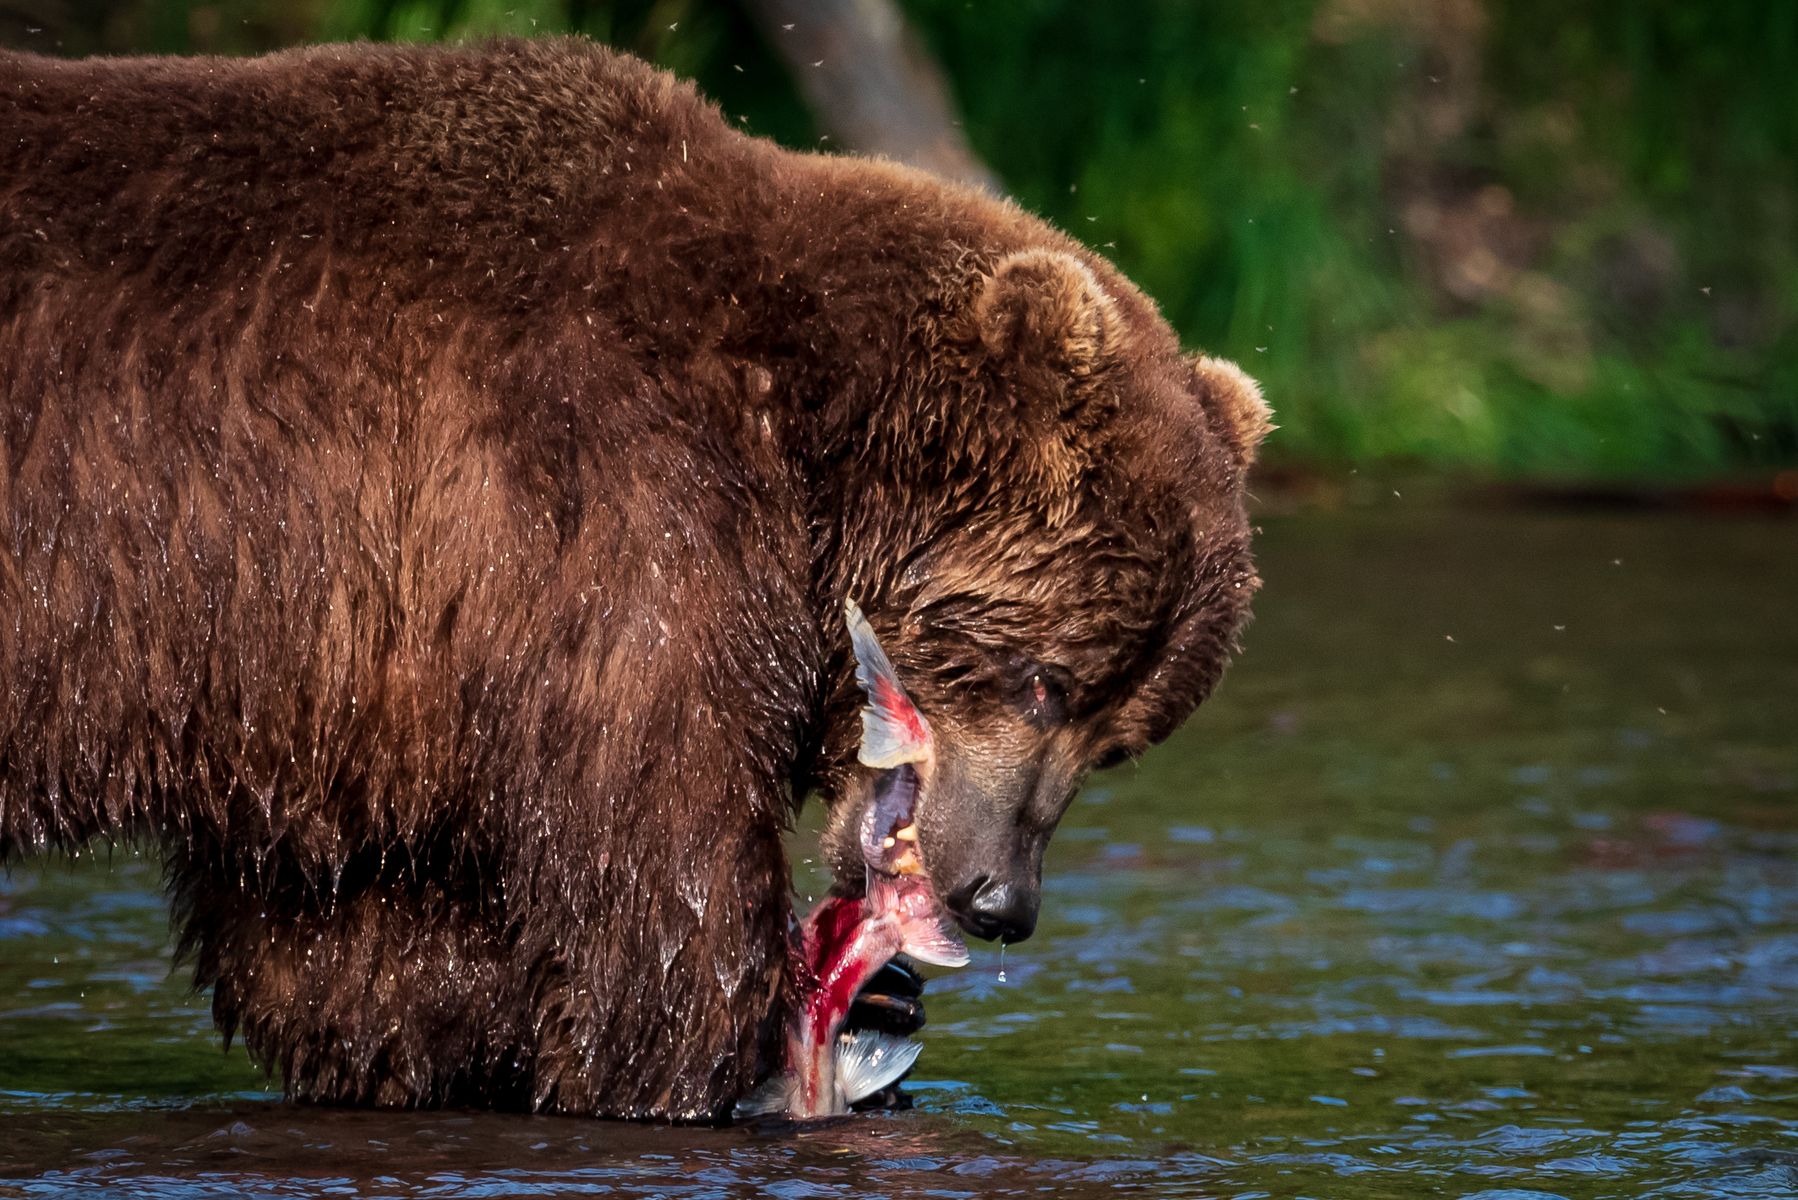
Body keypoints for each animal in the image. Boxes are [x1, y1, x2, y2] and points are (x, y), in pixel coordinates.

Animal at [0, 39, 1272, 1129]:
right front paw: (751, 1036)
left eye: (1120, 735)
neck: (809, 465)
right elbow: (652, 886)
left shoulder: (349, 687)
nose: (1000, 902)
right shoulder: (604, 519)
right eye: (1046, 680)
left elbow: (349, 941)